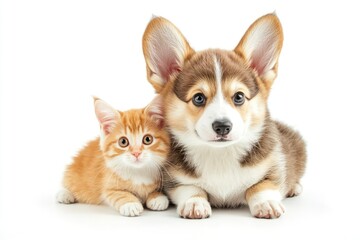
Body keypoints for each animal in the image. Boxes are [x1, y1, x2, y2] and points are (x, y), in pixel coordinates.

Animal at [142, 13, 306, 219]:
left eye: (239, 97)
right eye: (198, 98)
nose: (222, 126)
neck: (219, 154)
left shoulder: (274, 168)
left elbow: (261, 186)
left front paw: (266, 203)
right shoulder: (174, 180)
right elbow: (190, 188)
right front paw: (194, 203)